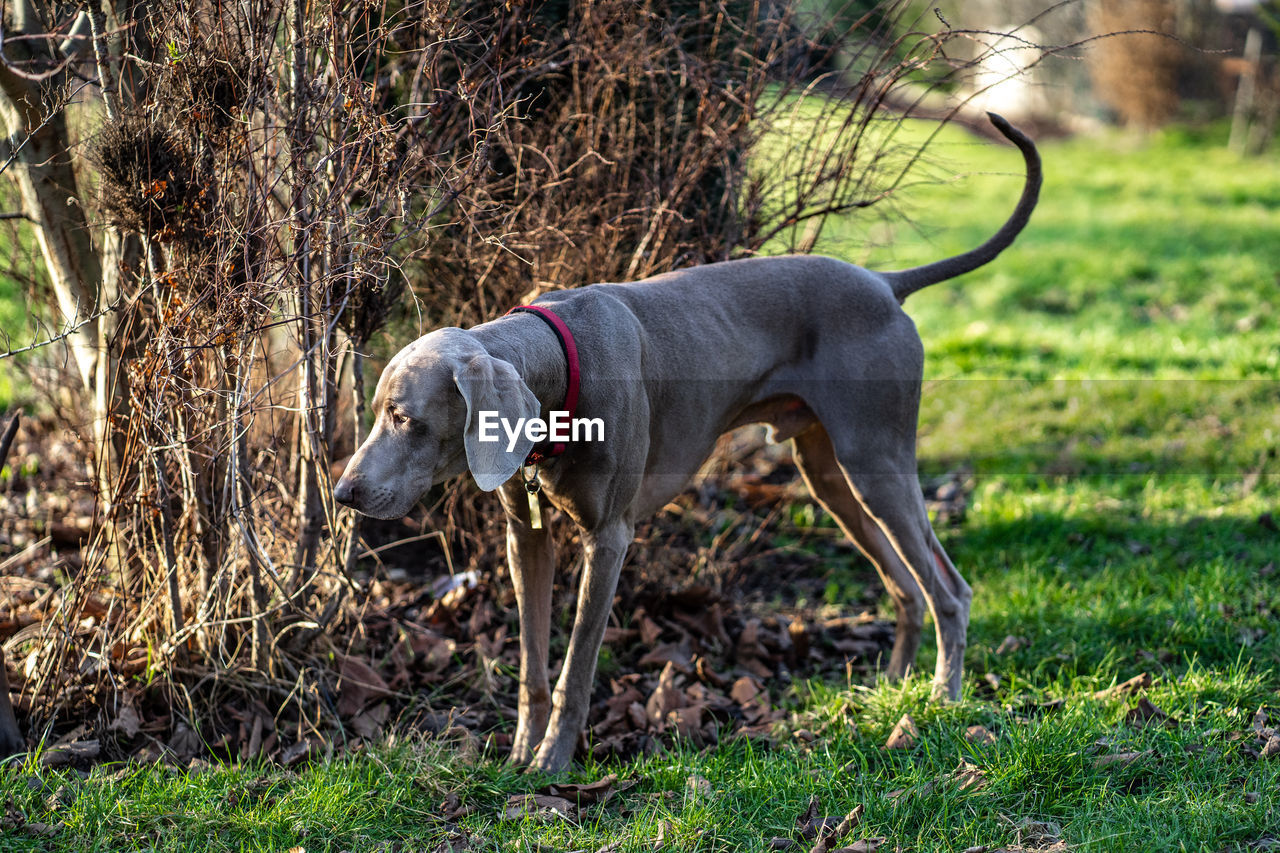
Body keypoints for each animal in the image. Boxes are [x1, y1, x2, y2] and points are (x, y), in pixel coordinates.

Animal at [335, 109, 1034, 768]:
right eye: (376, 412)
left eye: (405, 418)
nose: (343, 494)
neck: (557, 358)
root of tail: (887, 283)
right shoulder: (523, 536)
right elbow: (534, 666)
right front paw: (517, 757)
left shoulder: (608, 539)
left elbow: (574, 671)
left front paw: (551, 766)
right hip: (830, 473)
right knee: (905, 585)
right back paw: (890, 691)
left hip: (876, 459)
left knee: (950, 590)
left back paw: (942, 699)